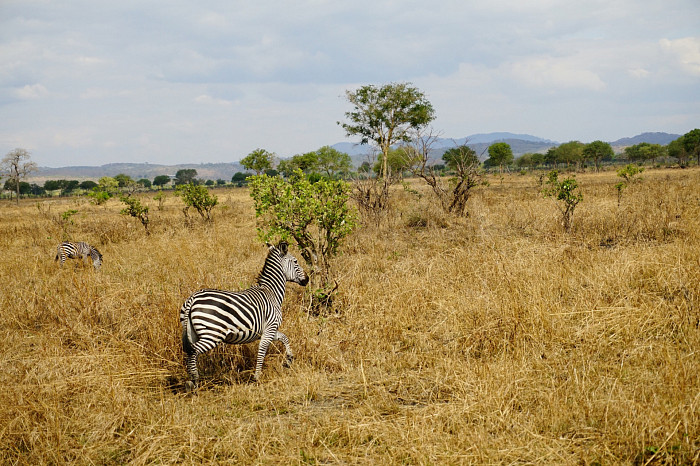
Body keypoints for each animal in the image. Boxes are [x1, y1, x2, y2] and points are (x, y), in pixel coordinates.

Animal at [180, 242, 308, 392]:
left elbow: (284, 338)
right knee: (193, 351)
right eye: (296, 261)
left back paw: (191, 382)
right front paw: (256, 377)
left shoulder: (268, 330)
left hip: (192, 332)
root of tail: (193, 298)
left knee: (189, 352)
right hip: (212, 334)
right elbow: (262, 350)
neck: (272, 292)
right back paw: (194, 381)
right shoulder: (270, 328)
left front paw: (289, 360)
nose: (307, 279)